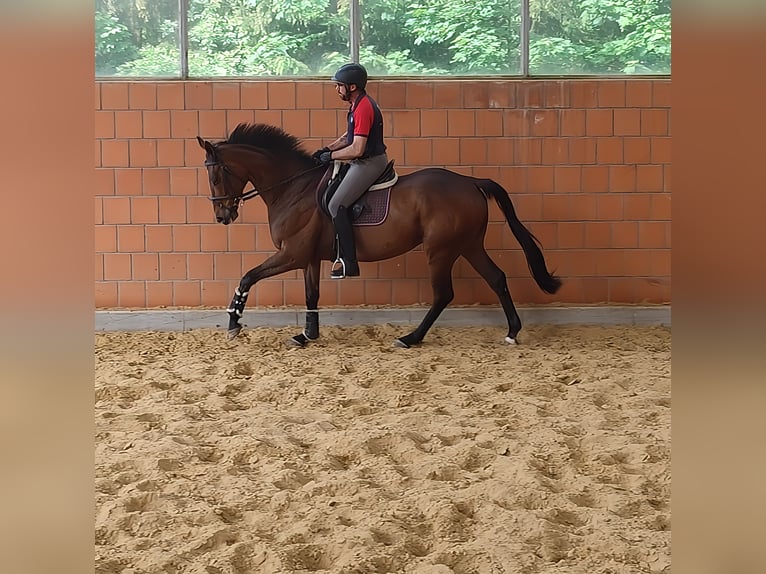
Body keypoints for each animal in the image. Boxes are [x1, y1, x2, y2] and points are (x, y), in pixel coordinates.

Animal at [195, 124, 560, 348]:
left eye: (215, 176)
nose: (222, 216)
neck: (293, 189)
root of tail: (470, 182)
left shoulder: (292, 254)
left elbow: (248, 276)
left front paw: (234, 322)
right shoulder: (308, 257)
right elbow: (312, 295)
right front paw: (307, 335)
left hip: (440, 250)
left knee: (444, 293)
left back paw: (411, 338)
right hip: (468, 245)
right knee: (496, 278)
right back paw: (512, 332)